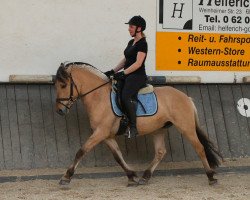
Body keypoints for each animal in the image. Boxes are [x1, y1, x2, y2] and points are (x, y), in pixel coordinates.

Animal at [54, 62, 223, 186]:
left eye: (63, 86)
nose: (60, 111)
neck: (99, 96)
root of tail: (186, 97)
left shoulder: (100, 132)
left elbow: (81, 151)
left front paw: (66, 177)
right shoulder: (106, 135)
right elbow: (118, 156)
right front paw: (131, 176)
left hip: (186, 127)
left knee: (199, 148)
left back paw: (211, 177)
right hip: (158, 129)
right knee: (160, 152)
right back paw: (145, 177)